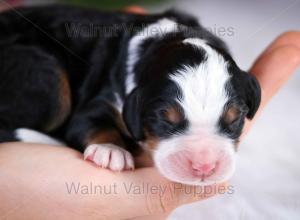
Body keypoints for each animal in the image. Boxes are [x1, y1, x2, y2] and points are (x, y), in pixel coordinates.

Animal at [0, 4, 260, 186]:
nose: (204, 167)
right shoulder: (101, 102)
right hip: (48, 78)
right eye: (164, 119)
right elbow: (91, 123)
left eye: (235, 118)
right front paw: (110, 151)